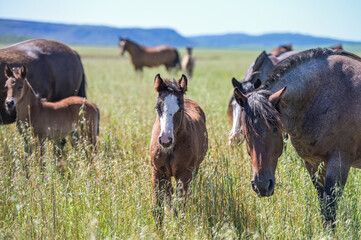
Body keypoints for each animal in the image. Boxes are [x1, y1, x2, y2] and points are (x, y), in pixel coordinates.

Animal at [149, 73, 207, 225]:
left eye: (179, 109)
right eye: (157, 108)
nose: (165, 140)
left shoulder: (184, 174)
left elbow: (179, 208)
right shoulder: (157, 172)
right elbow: (157, 207)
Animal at [232, 48, 360, 227]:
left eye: (275, 128)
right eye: (245, 132)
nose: (262, 186)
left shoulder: (339, 164)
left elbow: (329, 211)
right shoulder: (313, 164)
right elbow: (323, 208)